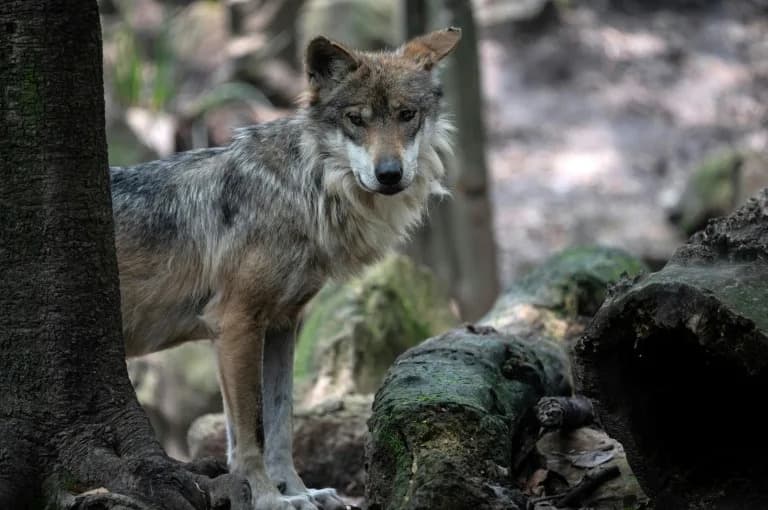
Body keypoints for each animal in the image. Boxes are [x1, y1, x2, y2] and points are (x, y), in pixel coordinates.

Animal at [110, 27, 461, 510]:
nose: (389, 174)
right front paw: (265, 497)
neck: (305, 188)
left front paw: (298, 491)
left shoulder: (281, 324)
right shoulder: (235, 323)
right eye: (357, 119)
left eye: (406, 115)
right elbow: (249, 430)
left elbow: (280, 421)